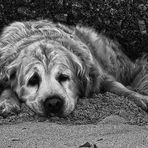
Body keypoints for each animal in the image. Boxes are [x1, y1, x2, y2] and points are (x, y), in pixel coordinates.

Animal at [0, 19, 148, 117]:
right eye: (33, 80)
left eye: (63, 77)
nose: (53, 103)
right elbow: (7, 88)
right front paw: (8, 102)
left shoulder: (98, 74)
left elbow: (119, 87)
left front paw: (140, 98)